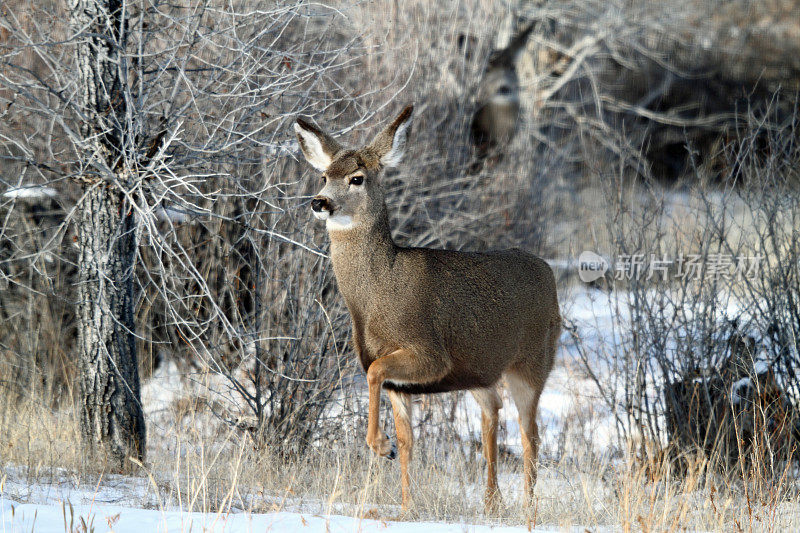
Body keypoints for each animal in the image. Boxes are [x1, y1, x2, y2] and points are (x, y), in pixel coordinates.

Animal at [294, 104, 564, 512]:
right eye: (324, 175)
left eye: (357, 178)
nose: (319, 202)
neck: (377, 297)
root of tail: (547, 269)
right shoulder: (399, 382)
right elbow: (408, 439)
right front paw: (406, 503)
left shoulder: (430, 353)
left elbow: (373, 372)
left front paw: (380, 446)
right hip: (478, 370)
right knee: (493, 413)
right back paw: (491, 501)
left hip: (532, 361)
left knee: (529, 432)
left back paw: (528, 507)